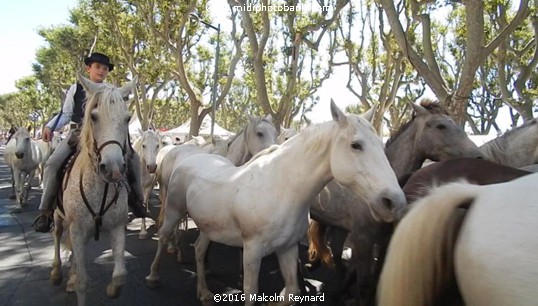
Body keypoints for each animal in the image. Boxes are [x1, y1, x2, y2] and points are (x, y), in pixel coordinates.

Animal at [49, 74, 135, 306]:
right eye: (94, 117)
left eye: (127, 118)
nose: (114, 168)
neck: (100, 190)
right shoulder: (77, 229)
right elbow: (82, 282)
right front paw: (75, 281)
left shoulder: (117, 228)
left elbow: (120, 275)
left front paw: (112, 290)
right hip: (59, 217)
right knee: (57, 235)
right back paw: (56, 273)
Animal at [144, 100, 404, 304]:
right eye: (356, 145)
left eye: (382, 145)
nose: (394, 202)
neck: (280, 189)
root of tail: (189, 157)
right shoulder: (251, 250)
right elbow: (250, 291)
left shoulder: (287, 248)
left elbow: (292, 291)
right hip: (174, 211)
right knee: (164, 236)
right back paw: (153, 277)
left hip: (209, 226)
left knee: (199, 250)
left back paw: (204, 292)